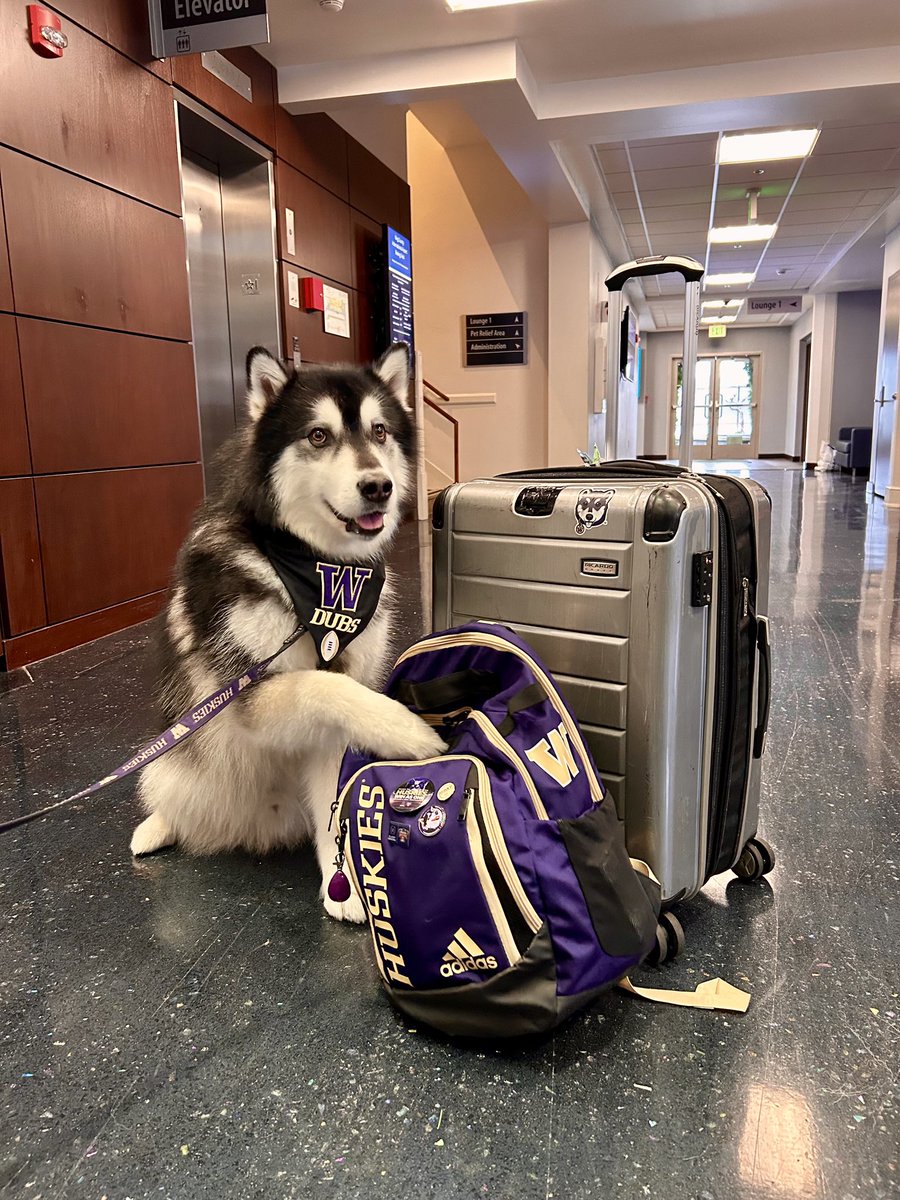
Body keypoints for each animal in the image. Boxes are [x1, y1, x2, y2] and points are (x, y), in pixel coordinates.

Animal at [130, 343, 448, 921]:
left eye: (380, 431)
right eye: (318, 436)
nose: (378, 487)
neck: (320, 573)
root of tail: (256, 826)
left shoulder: (330, 731)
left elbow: (332, 771)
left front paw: (343, 885)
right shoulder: (243, 695)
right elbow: (320, 684)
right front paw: (405, 729)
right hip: (169, 761)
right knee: (167, 793)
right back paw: (156, 828)